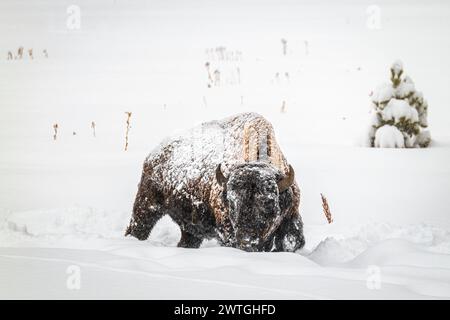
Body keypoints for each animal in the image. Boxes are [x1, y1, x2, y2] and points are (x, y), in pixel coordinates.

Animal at [125, 112, 304, 252]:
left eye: (269, 204)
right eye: (231, 204)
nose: (247, 243)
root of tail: (154, 154)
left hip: (189, 229)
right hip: (147, 205)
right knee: (137, 228)